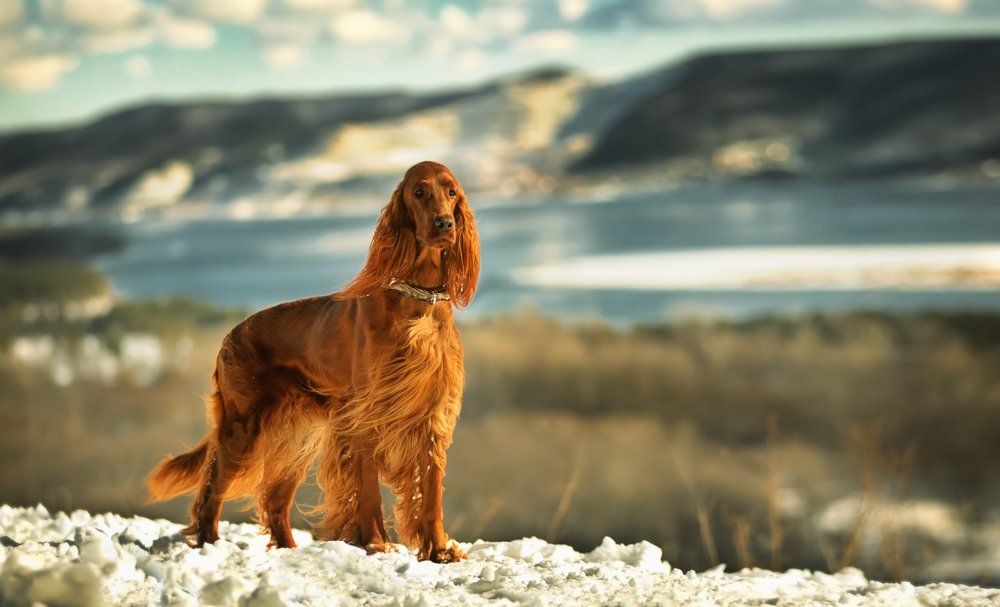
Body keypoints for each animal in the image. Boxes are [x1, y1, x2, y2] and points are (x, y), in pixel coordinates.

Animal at [146, 159, 478, 564]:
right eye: (419, 191)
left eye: (452, 192)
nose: (444, 224)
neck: (419, 303)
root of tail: (230, 335)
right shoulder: (363, 419)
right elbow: (367, 491)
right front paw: (375, 544)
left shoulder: (431, 418)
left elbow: (429, 494)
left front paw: (438, 550)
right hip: (244, 428)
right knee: (211, 488)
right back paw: (209, 543)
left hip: (294, 438)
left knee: (273, 501)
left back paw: (287, 550)